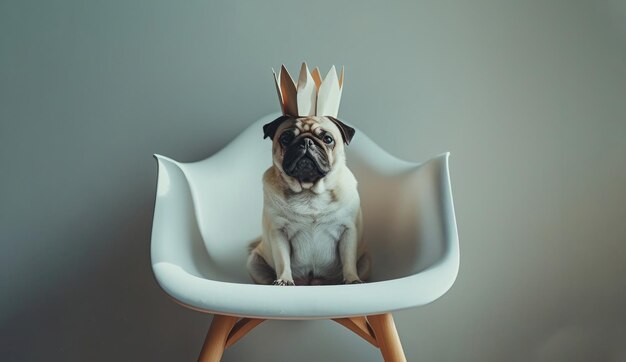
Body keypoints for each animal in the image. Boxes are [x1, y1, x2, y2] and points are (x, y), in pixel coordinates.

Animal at [245, 116, 370, 286]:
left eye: (328, 139)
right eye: (285, 138)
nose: (306, 142)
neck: (309, 192)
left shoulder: (348, 231)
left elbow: (349, 260)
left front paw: (352, 280)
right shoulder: (279, 232)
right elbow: (282, 260)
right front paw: (285, 279)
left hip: (365, 261)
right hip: (254, 262)